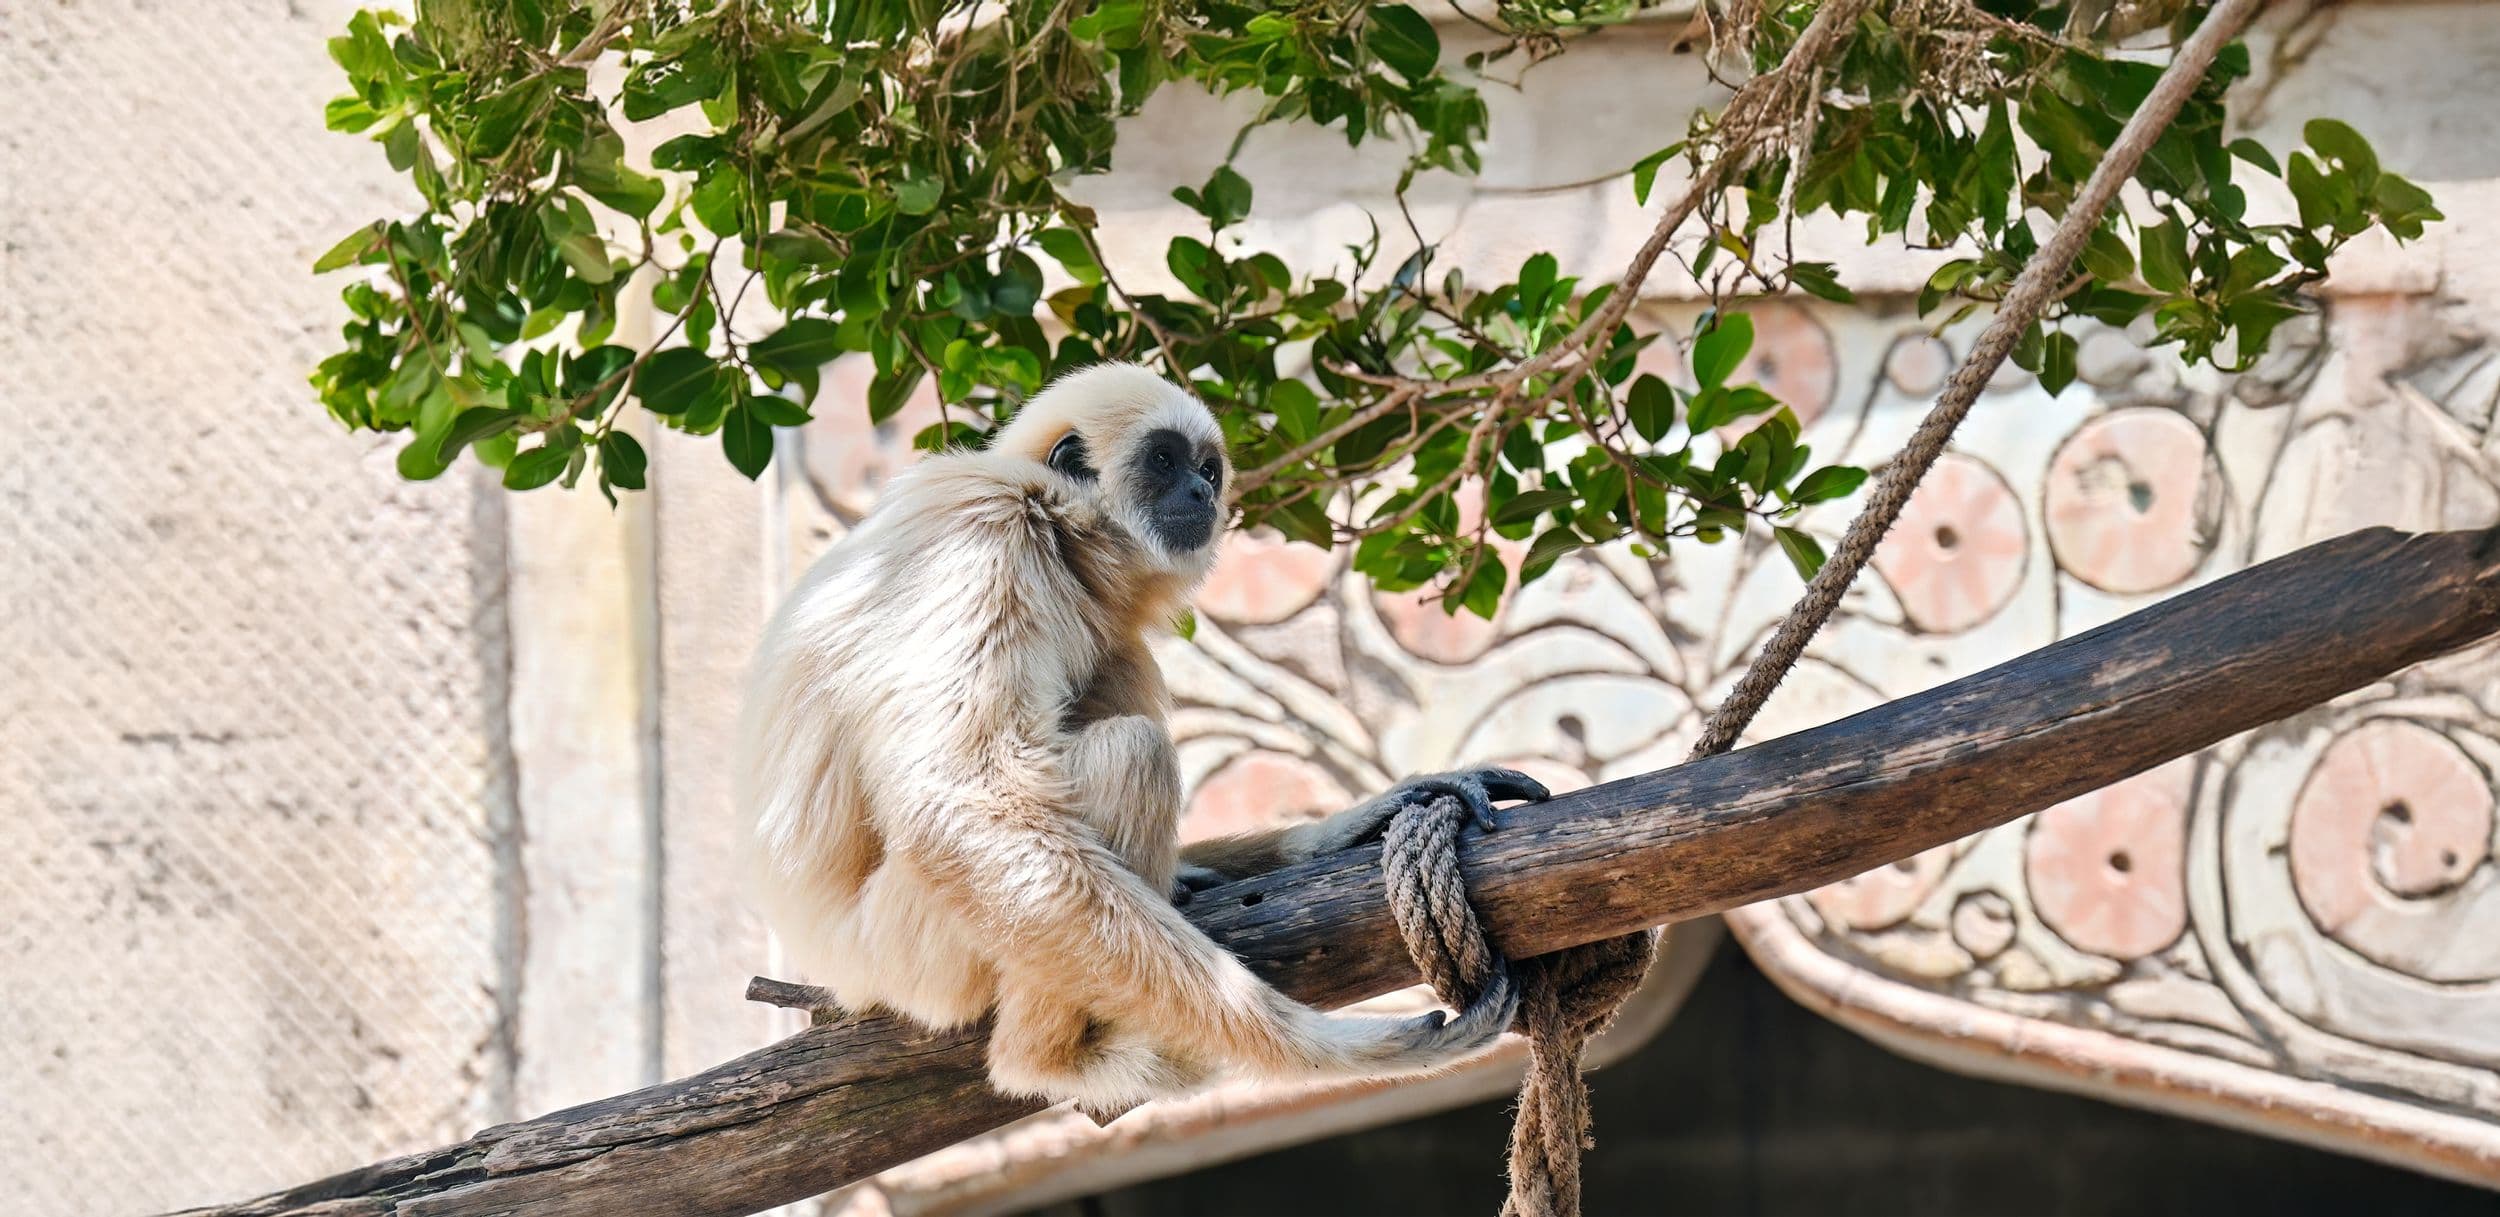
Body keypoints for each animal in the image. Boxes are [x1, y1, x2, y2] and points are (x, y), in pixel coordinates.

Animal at [736, 362, 1545, 1113]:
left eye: (1208, 468)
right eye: (1164, 460)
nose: (1202, 493)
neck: (1054, 525)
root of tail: (839, 970)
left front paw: (1357, 819)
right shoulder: (982, 539)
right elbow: (963, 810)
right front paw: (1346, 1053)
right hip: (912, 953)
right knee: (1132, 754)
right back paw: (1046, 1056)